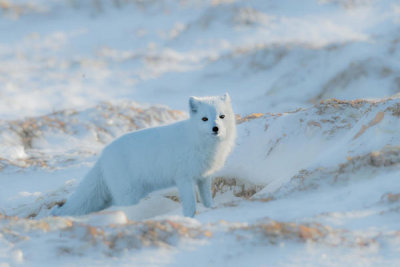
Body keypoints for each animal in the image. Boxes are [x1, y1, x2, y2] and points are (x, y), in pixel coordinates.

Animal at [51, 94, 236, 218]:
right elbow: (190, 203)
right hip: (128, 194)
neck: (199, 142)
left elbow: (207, 198)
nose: (215, 128)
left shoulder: (203, 177)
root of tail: (103, 156)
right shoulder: (184, 178)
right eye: (204, 119)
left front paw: (210, 209)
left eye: (222, 116)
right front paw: (190, 218)